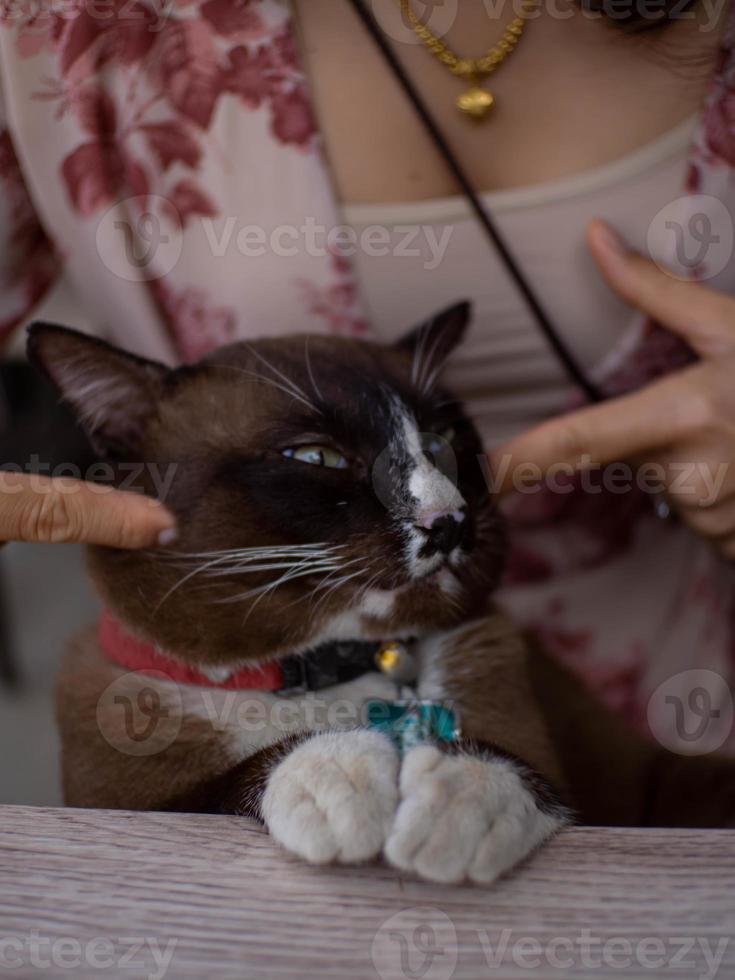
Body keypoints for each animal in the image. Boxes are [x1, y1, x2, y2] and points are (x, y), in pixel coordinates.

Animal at [25, 302, 735, 884]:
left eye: (440, 443)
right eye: (316, 458)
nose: (449, 521)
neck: (327, 668)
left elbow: (511, 769)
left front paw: (452, 795)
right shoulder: (125, 806)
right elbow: (228, 784)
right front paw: (342, 780)